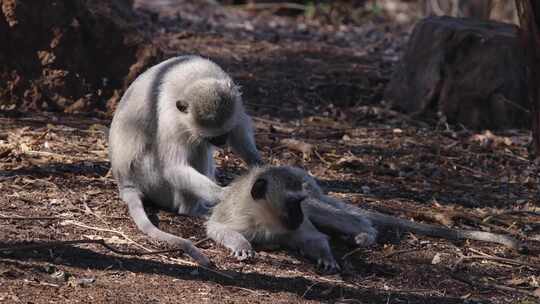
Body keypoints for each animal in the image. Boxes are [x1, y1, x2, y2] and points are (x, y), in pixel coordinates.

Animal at [107, 55, 262, 266]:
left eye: (224, 134)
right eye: (213, 137)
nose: (221, 142)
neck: (195, 76)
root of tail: (125, 182)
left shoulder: (235, 103)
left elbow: (238, 133)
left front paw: (257, 163)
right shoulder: (172, 118)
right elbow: (174, 167)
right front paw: (224, 195)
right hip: (151, 179)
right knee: (195, 149)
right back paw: (193, 209)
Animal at [207, 166, 524, 274]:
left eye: (298, 202)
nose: (299, 214)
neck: (267, 219)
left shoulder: (297, 223)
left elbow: (315, 237)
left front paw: (327, 257)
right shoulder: (238, 215)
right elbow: (217, 228)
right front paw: (243, 246)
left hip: (318, 204)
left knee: (339, 217)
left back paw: (363, 234)